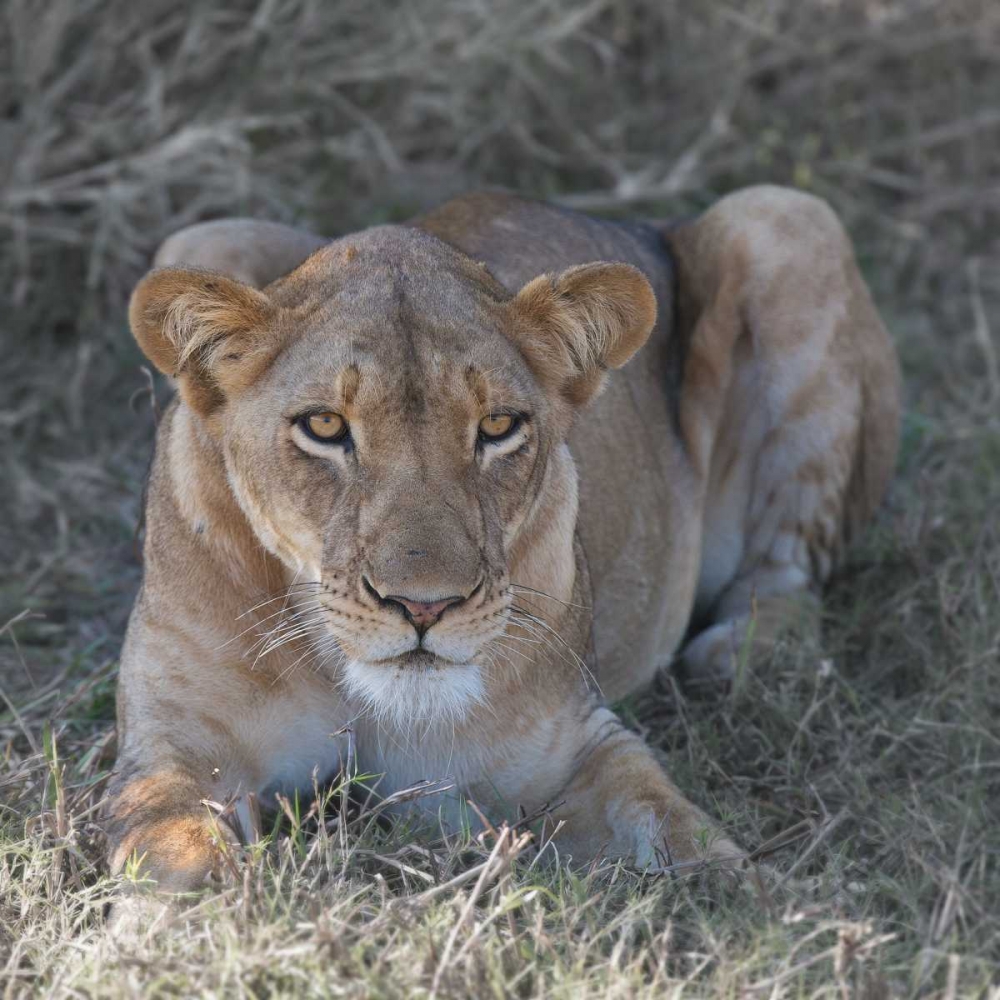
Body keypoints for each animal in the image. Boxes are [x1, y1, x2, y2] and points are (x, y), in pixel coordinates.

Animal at [108, 186, 899, 905]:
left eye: (497, 427)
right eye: (325, 427)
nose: (423, 608)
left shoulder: (576, 750)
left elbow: (682, 832)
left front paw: (775, 916)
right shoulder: (174, 752)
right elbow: (172, 854)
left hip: (784, 214)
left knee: (793, 568)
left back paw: (744, 654)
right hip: (200, 236)